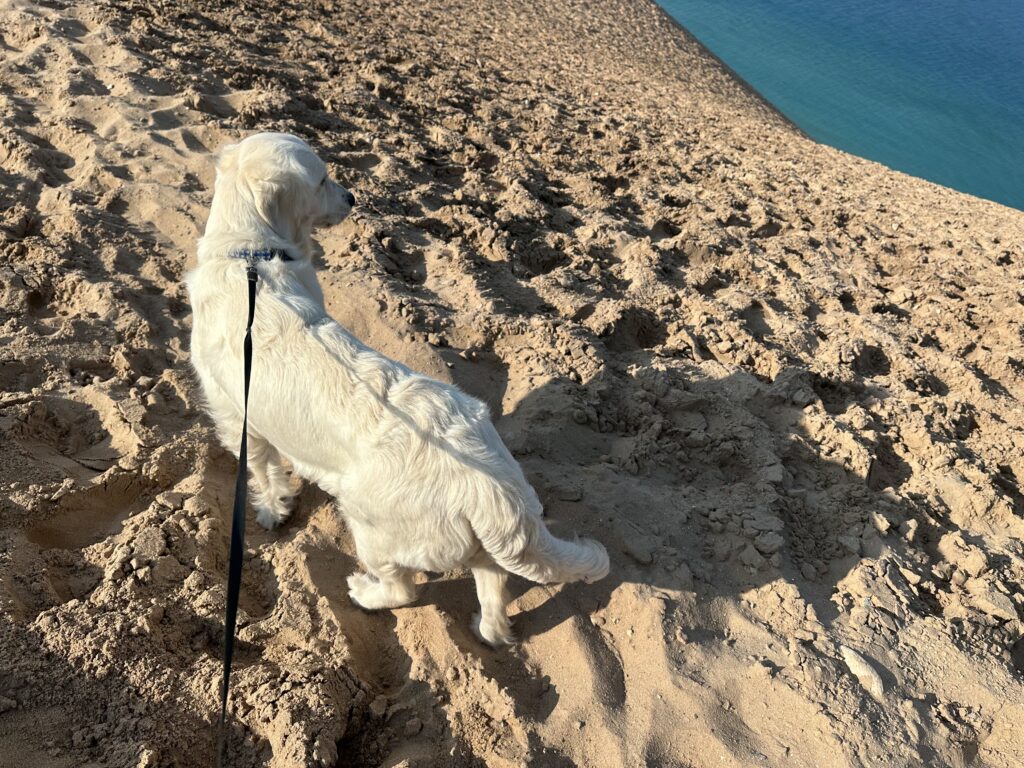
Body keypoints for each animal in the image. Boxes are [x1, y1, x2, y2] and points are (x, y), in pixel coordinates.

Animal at [185, 133, 609, 645]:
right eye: (322, 180)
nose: (352, 197)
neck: (250, 255)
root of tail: (494, 492)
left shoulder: (236, 415)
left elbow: (263, 473)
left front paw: (272, 509)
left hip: (374, 528)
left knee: (404, 589)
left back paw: (364, 592)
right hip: (467, 537)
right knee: (491, 582)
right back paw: (488, 628)